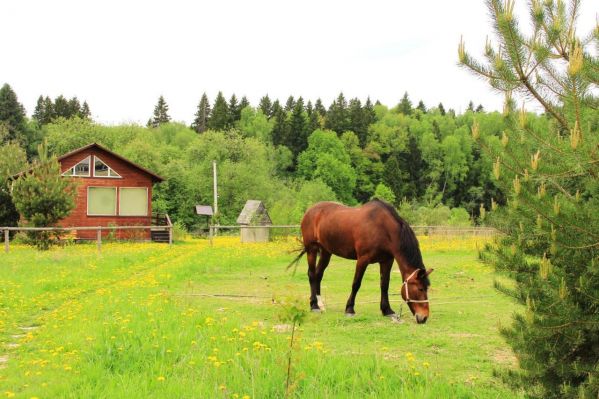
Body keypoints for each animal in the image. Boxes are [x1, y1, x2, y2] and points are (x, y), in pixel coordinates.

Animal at [290, 200, 434, 324]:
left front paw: (387, 310)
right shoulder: (363, 260)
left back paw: (321, 304)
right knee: (312, 275)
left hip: (326, 251)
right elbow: (356, 284)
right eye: (420, 289)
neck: (382, 228)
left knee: (318, 275)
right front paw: (349, 309)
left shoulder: (387, 261)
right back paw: (314, 305)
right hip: (312, 249)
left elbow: (384, 285)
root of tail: (310, 210)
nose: (424, 317)